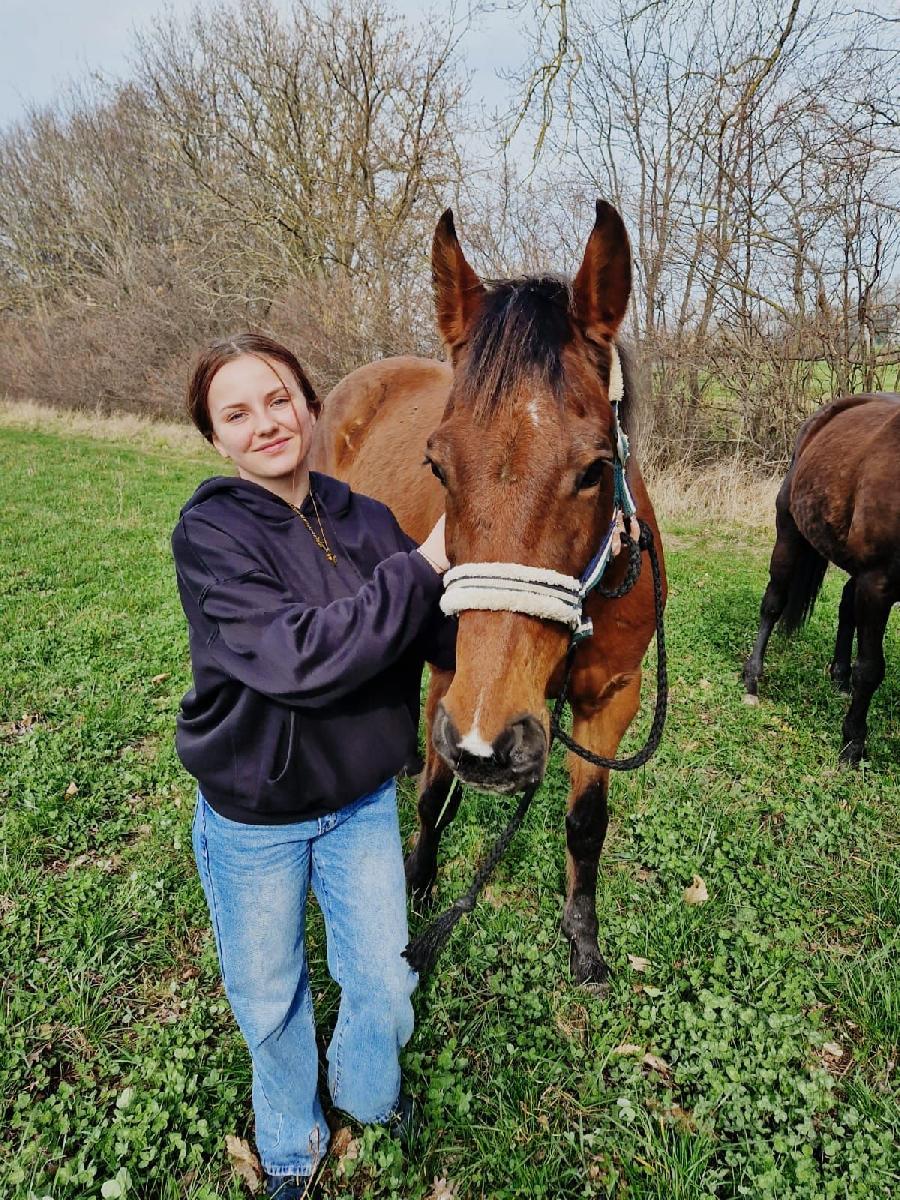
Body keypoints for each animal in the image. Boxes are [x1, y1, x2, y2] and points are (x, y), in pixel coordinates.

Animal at [314, 199, 667, 984]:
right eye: (437, 466)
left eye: (596, 468)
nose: (488, 745)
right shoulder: (454, 678)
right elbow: (434, 797)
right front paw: (417, 885)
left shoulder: (611, 699)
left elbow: (586, 825)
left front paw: (583, 940)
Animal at [748, 393, 900, 763]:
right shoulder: (878, 583)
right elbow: (871, 668)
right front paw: (853, 744)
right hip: (789, 531)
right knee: (773, 603)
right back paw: (752, 678)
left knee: (846, 604)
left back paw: (840, 678)